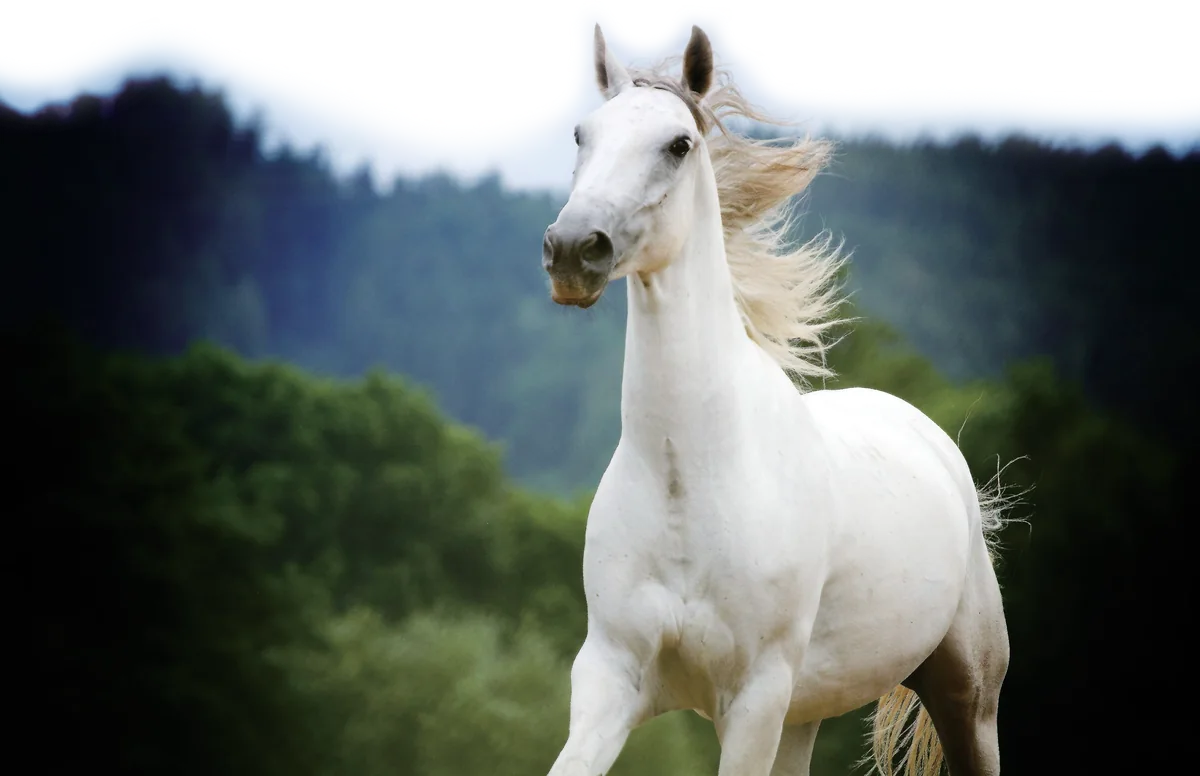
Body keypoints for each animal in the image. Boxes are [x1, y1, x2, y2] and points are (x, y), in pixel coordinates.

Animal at [538, 22, 1013, 776]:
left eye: (679, 144)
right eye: (584, 134)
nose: (572, 251)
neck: (690, 481)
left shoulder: (754, 699)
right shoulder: (609, 680)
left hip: (967, 695)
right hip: (804, 712)